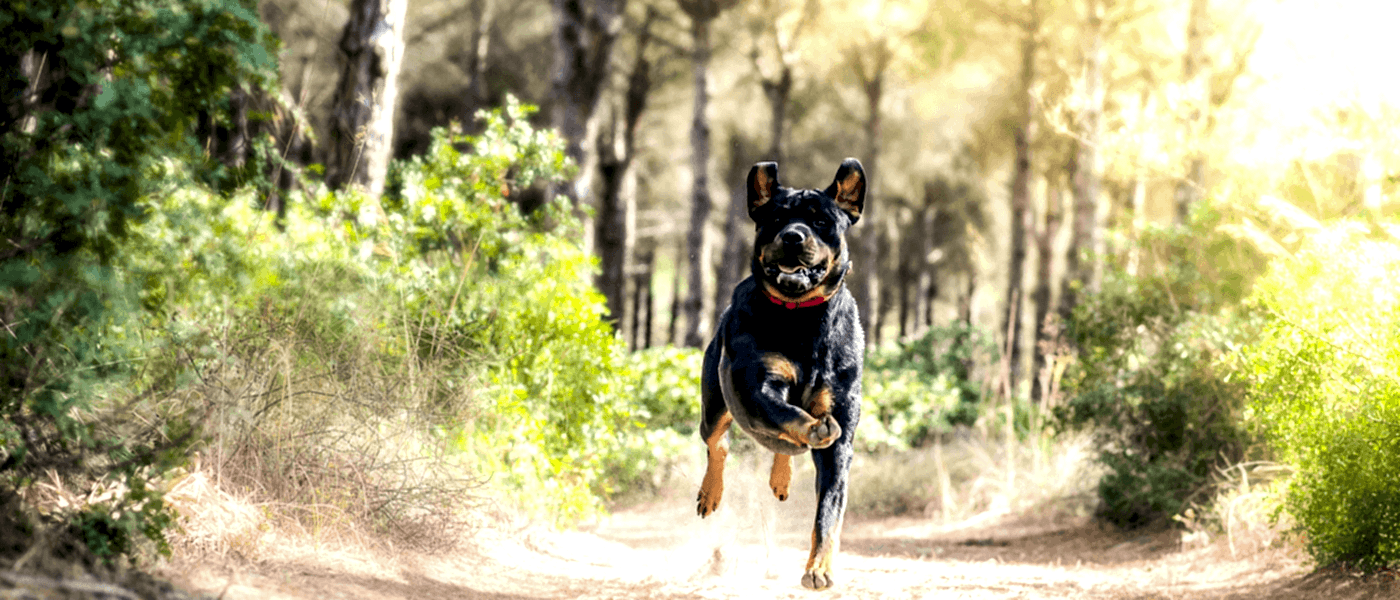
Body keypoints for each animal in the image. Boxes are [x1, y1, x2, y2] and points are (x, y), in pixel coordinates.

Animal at [696, 158, 866, 590]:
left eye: (822, 220)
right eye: (775, 218)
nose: (792, 235)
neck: (801, 318)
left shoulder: (841, 432)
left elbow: (829, 512)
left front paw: (819, 568)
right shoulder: (755, 386)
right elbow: (787, 413)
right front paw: (812, 429)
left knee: (779, 446)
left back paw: (781, 478)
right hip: (714, 401)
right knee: (718, 444)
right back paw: (710, 494)